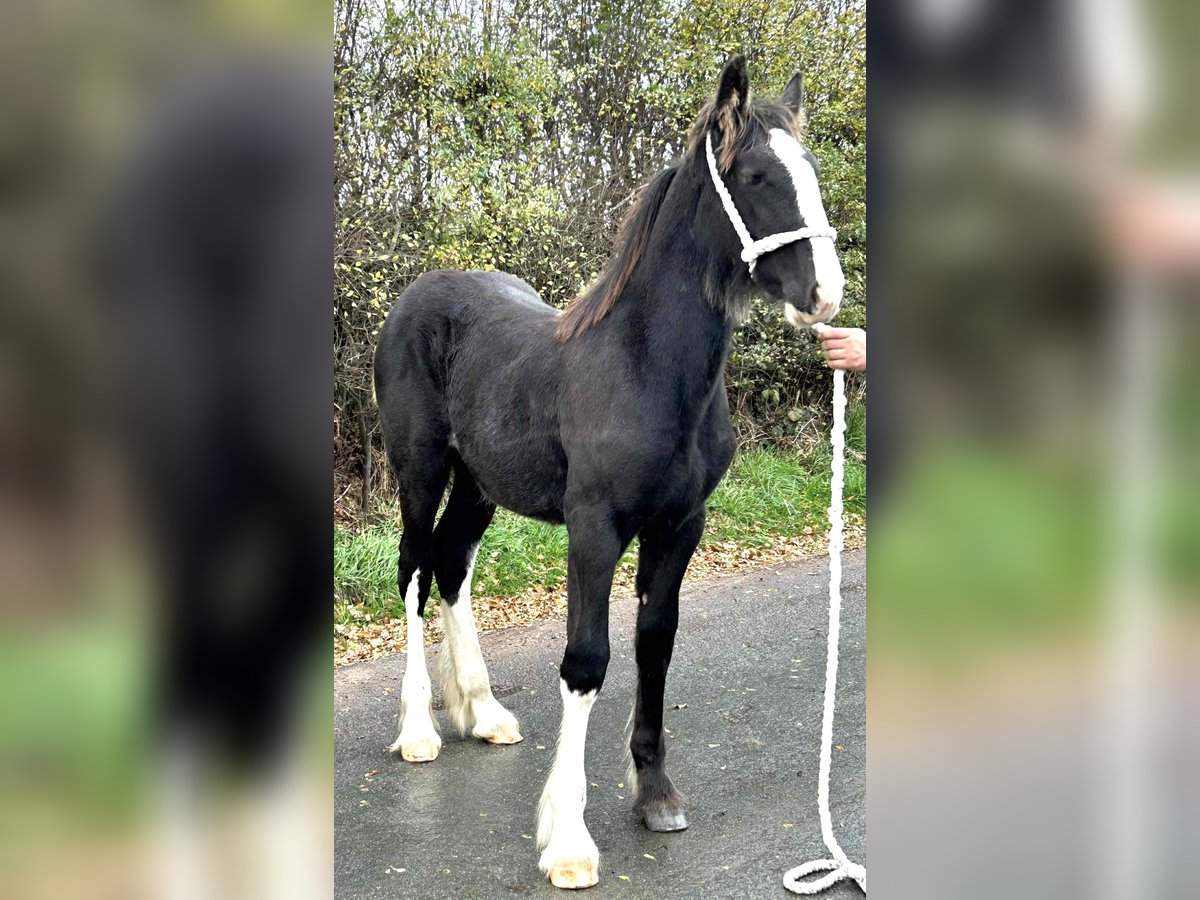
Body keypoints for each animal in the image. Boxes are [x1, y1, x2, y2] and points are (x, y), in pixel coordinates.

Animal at [373, 55, 845, 889]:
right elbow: (587, 662)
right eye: (757, 175)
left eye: (811, 170)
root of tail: (418, 294)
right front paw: (566, 839)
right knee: (414, 571)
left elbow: (655, 640)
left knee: (452, 565)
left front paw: (655, 794)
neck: (645, 366)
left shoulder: (680, 526)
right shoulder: (594, 529)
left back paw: (482, 713)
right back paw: (420, 727)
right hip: (420, 472)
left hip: (481, 484)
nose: (825, 295)